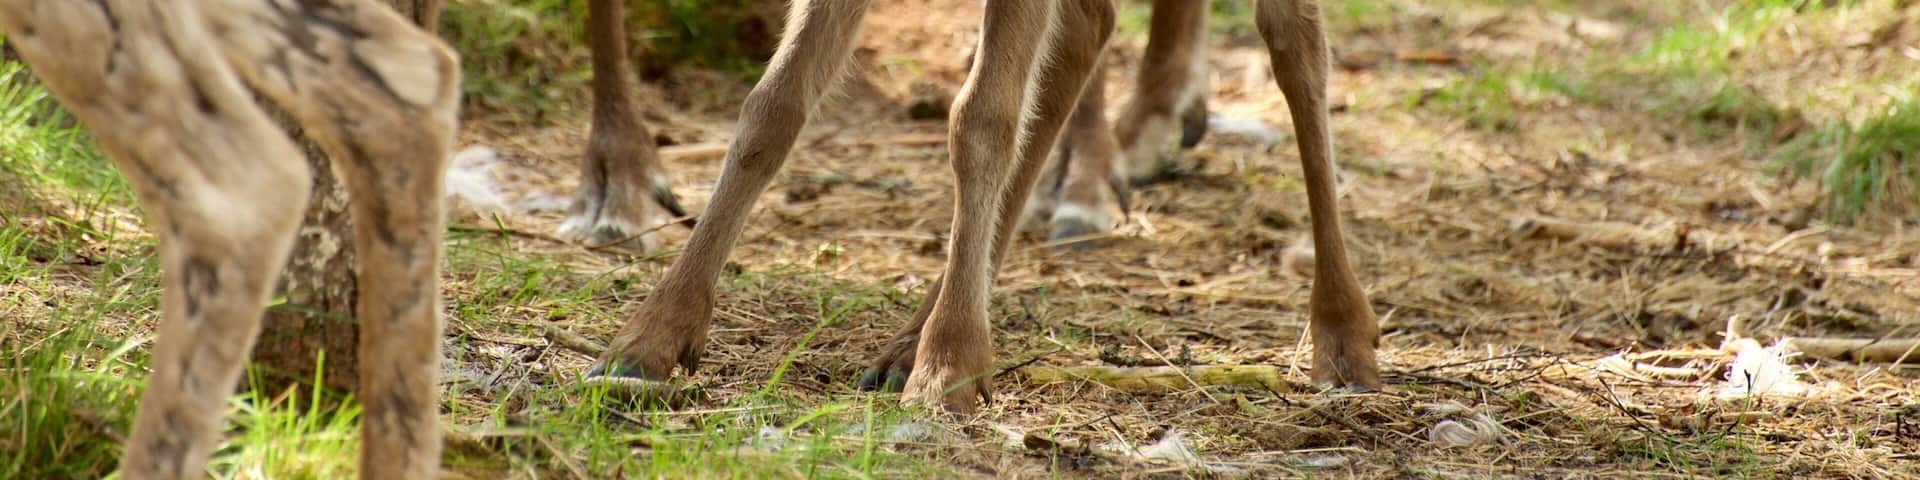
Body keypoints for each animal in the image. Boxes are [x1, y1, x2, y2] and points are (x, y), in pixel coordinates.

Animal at [588, 0, 1381, 415]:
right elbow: (772, 105)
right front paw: (649, 340)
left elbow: (980, 119)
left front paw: (949, 367)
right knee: (1090, 25)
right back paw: (908, 339)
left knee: (1296, 40)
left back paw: (1343, 330)